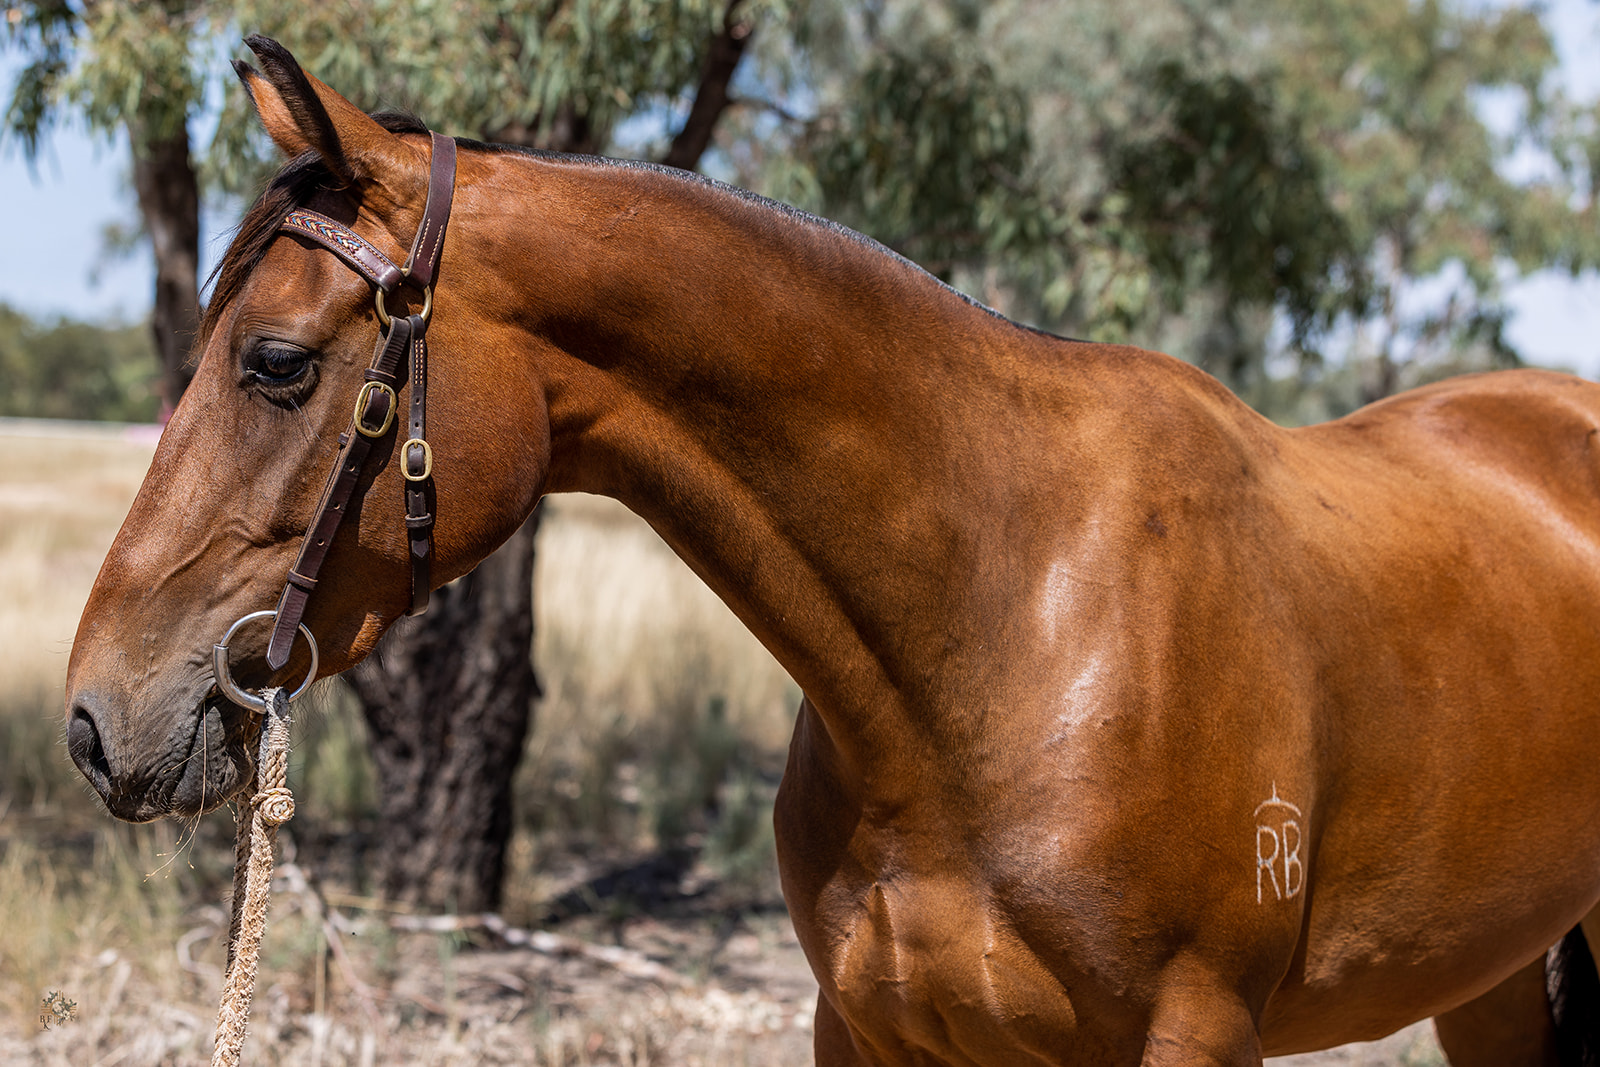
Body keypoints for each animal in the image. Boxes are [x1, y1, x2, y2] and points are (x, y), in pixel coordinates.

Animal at [64, 36, 1600, 1066]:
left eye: (272, 361)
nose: (94, 719)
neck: (999, 630)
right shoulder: (868, 1026)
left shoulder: (1190, 1033)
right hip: (1491, 973)